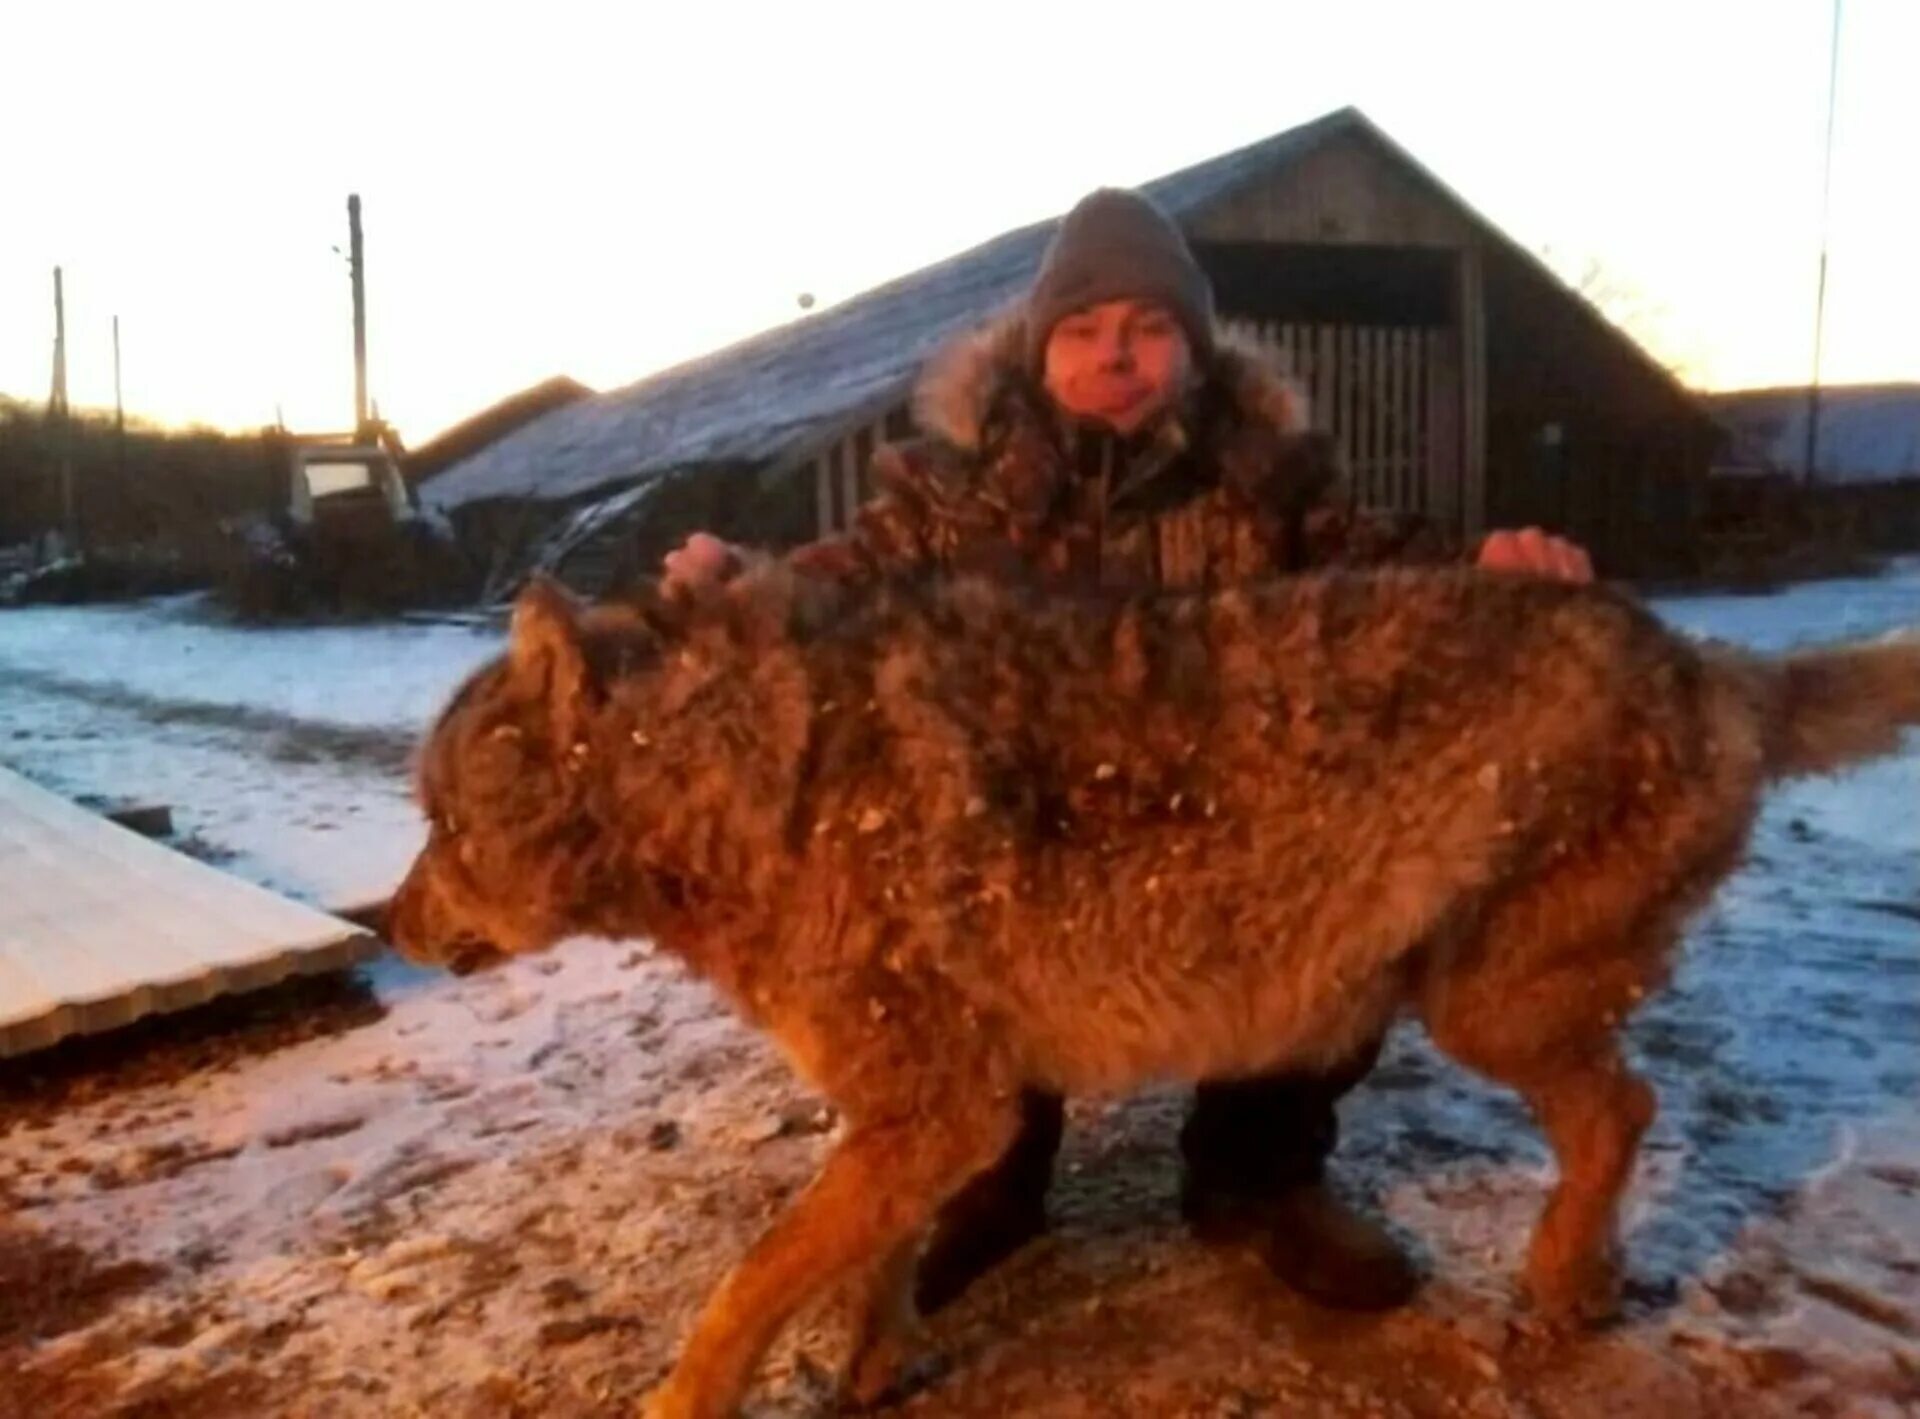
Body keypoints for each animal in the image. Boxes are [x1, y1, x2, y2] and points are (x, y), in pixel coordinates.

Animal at [389, 564, 1920, 1419]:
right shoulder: (923, 1117)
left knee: (1625, 1110)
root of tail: (1711, 661)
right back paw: (1585, 1282)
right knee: (1624, 1107)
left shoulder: (930, 1109)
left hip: (1482, 1010)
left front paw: (682, 1397)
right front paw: (873, 1367)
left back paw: (1556, 1286)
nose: (386, 922)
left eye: (440, 825)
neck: (748, 779)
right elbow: (858, 1266)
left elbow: (745, 1286)